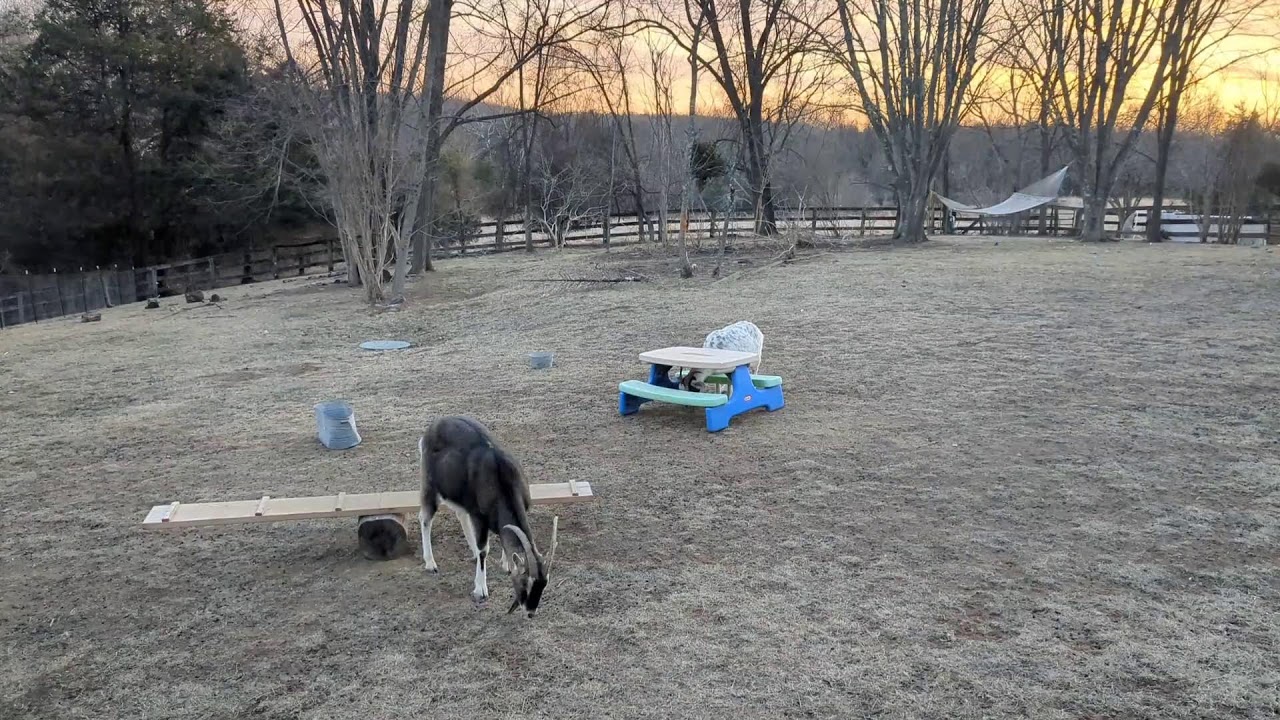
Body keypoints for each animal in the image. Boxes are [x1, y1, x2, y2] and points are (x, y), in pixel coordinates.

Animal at [419, 416, 548, 617]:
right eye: (525, 582)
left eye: (544, 584)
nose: (530, 611)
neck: (502, 477)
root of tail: (433, 427)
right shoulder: (479, 516)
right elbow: (483, 550)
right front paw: (480, 590)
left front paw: (506, 564)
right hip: (430, 485)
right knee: (425, 518)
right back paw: (431, 563)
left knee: (460, 514)